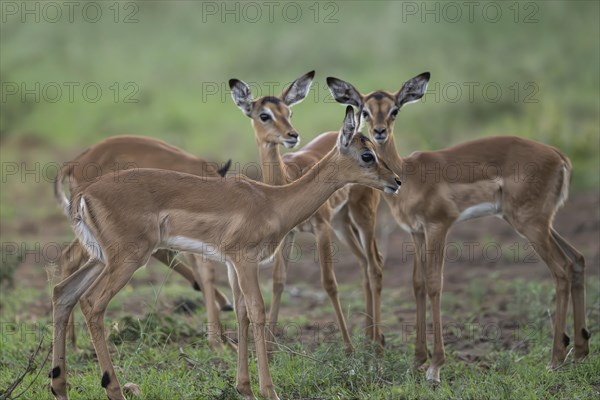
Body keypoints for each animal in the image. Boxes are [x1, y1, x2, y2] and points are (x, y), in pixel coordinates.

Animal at [230, 71, 390, 350]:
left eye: (289, 112)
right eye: (264, 115)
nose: (292, 135)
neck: (287, 178)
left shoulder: (321, 228)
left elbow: (329, 283)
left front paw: (348, 347)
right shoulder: (289, 234)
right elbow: (278, 281)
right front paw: (270, 346)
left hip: (362, 215)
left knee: (375, 263)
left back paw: (377, 339)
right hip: (341, 222)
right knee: (362, 262)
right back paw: (369, 333)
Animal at [326, 72, 588, 384]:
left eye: (394, 110)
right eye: (365, 110)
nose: (379, 131)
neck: (408, 175)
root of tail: (560, 157)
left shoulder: (439, 226)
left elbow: (434, 284)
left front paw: (435, 367)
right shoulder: (416, 232)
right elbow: (418, 285)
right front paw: (417, 360)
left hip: (531, 223)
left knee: (561, 270)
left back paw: (555, 359)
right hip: (535, 222)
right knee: (577, 260)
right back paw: (580, 352)